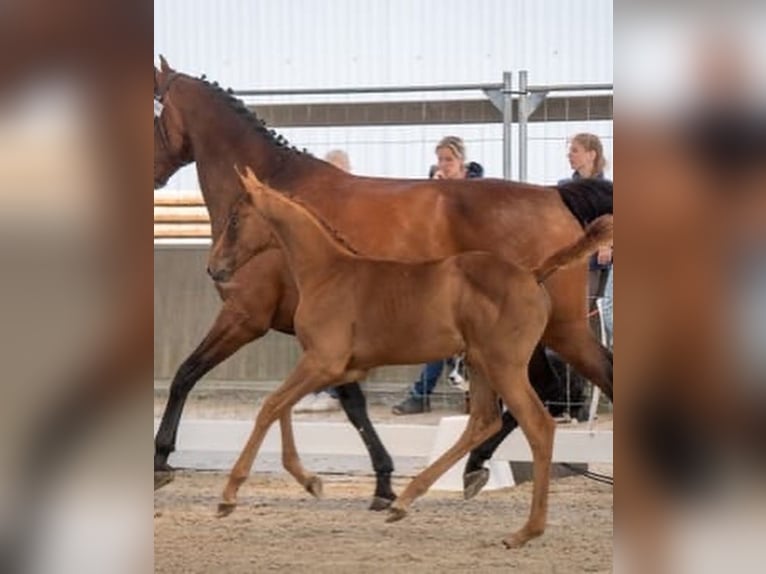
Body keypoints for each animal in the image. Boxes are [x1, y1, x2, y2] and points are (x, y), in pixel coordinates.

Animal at [208, 168, 612, 548]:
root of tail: (532, 273)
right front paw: (310, 481)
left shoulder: (323, 361)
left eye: (235, 219)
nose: (214, 268)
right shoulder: (329, 367)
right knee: (483, 421)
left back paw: (525, 531)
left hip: (505, 367)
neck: (327, 272)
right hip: (480, 364)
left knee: (538, 426)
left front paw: (229, 496)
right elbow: (284, 407)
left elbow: (270, 406)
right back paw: (407, 499)